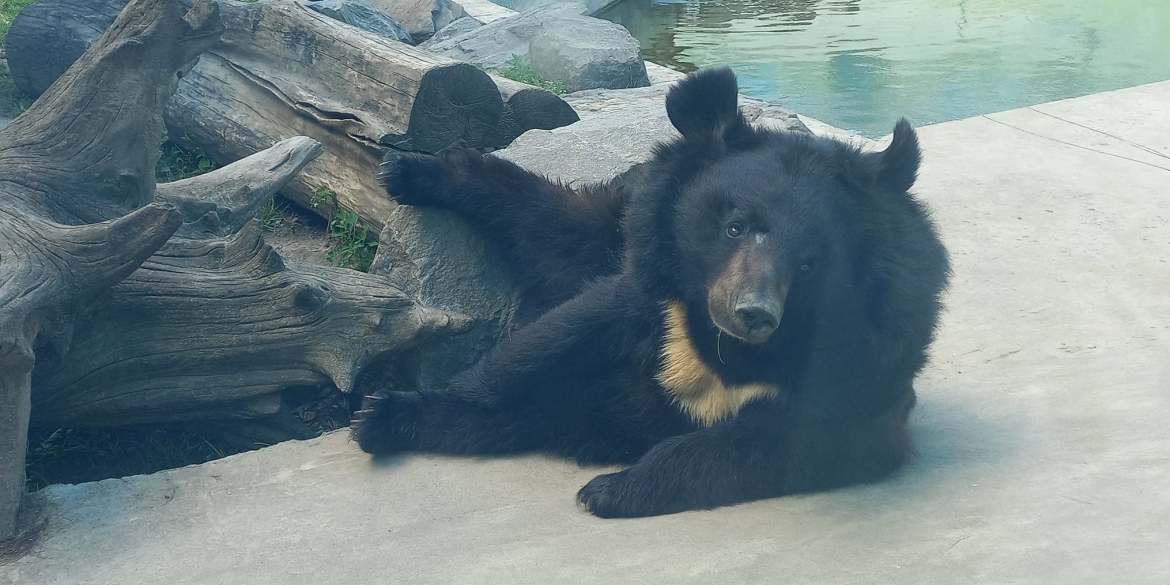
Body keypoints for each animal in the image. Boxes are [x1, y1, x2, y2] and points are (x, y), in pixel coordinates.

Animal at [355, 66, 950, 519]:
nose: (753, 313)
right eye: (734, 226)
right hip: (620, 229)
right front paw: (388, 413)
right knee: (552, 222)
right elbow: (549, 342)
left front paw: (610, 491)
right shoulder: (650, 287)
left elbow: (788, 443)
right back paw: (411, 171)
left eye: (810, 261)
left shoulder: (868, 356)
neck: (718, 341)